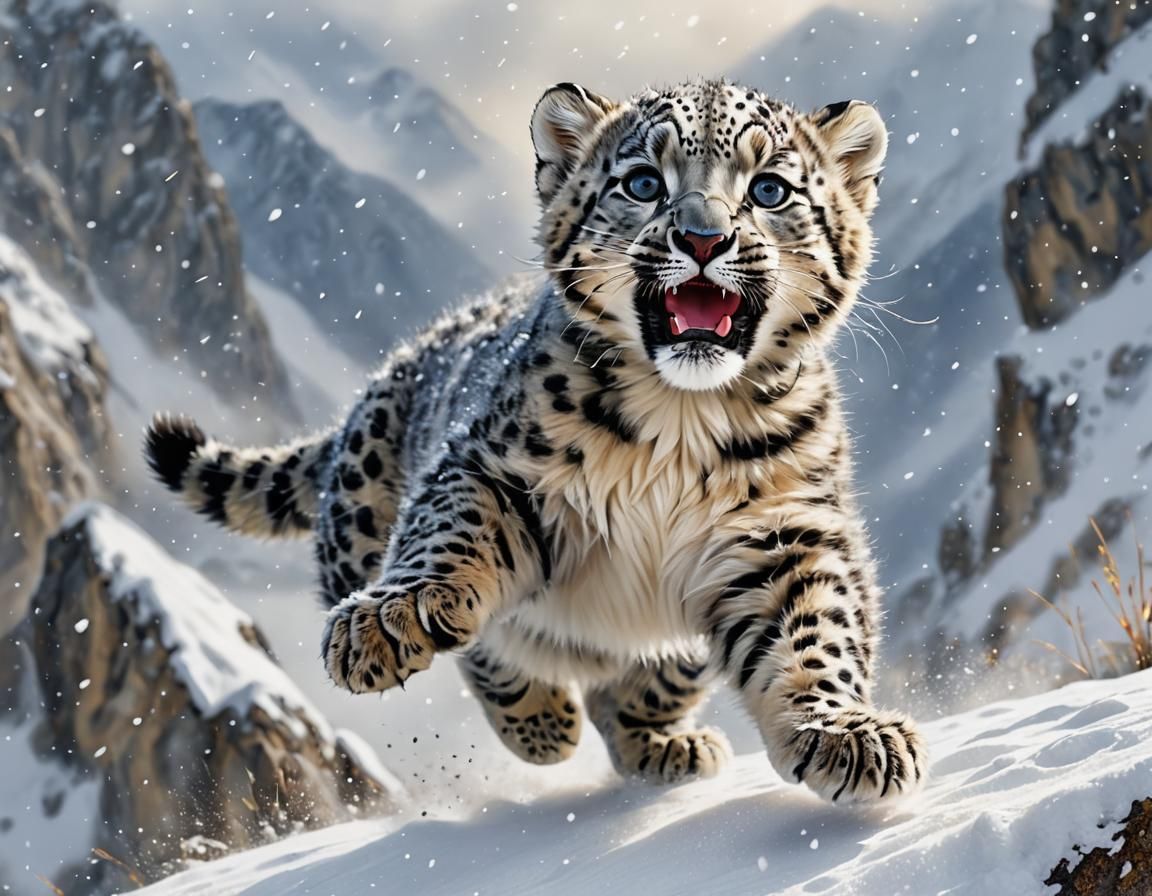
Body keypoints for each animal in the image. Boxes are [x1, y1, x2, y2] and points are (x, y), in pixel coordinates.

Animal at [145, 78, 926, 802]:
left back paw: (663, 742)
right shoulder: (496, 468)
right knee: (493, 644)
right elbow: (449, 534)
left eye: (769, 189)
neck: (682, 421)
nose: (703, 238)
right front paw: (393, 617)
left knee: (642, 684)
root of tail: (391, 369)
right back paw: (542, 721)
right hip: (359, 526)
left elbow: (815, 632)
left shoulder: (784, 530)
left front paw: (850, 734)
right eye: (643, 181)